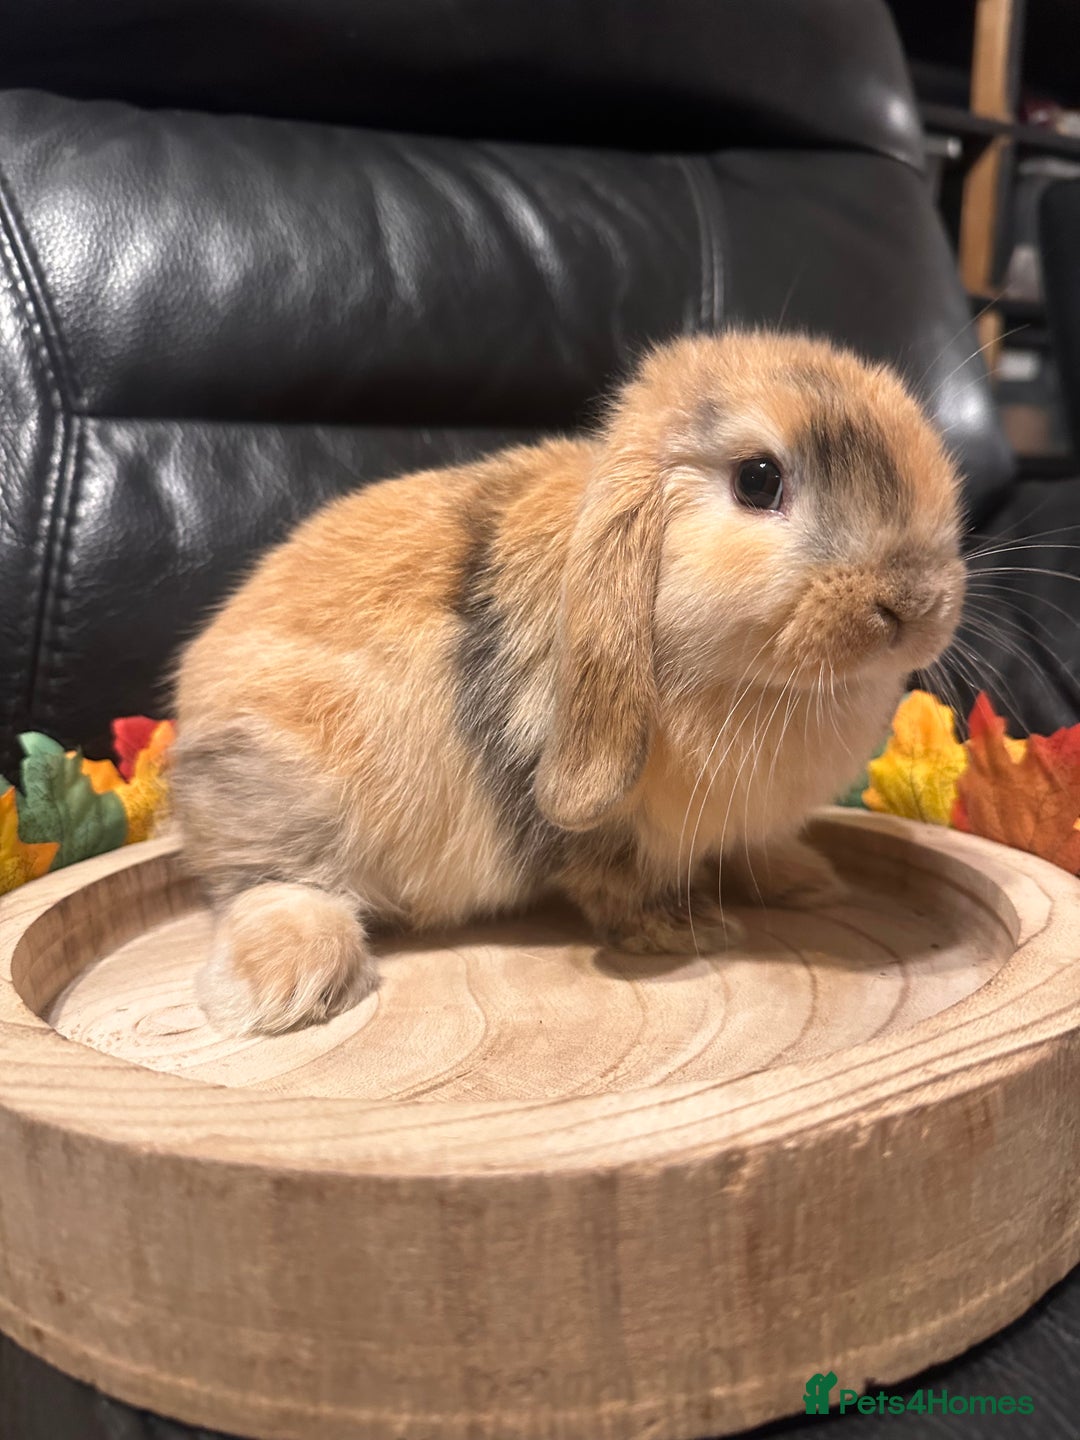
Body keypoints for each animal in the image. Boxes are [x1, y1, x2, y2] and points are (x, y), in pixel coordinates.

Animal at [171, 329, 966, 1036]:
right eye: (758, 480)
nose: (914, 602)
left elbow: (746, 850)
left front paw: (807, 879)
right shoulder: (586, 824)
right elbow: (615, 884)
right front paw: (687, 933)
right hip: (289, 780)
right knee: (264, 883)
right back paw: (291, 985)